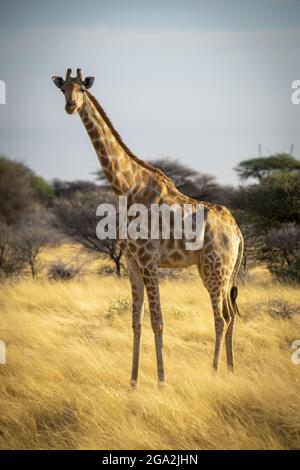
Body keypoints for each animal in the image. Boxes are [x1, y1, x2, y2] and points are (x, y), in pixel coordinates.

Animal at [51, 69, 244, 386]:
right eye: (63, 88)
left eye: (82, 88)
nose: (70, 106)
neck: (127, 187)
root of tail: (238, 232)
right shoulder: (131, 261)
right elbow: (136, 321)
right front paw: (133, 381)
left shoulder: (149, 260)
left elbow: (158, 320)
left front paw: (162, 381)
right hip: (219, 270)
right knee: (231, 314)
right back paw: (230, 370)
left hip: (215, 267)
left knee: (221, 317)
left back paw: (215, 371)